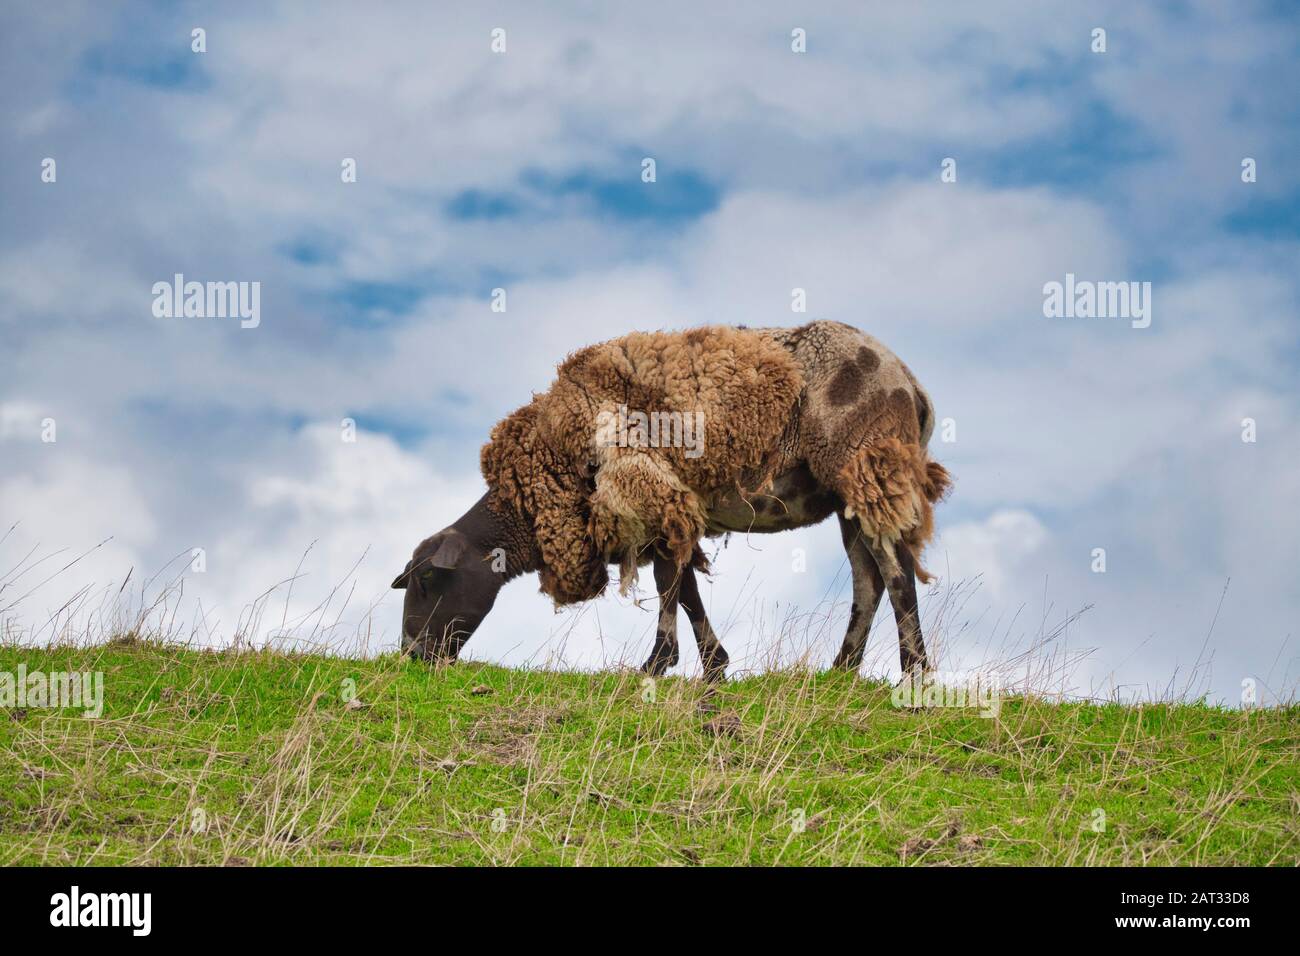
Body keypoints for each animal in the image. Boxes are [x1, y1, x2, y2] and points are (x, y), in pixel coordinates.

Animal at [392, 319, 951, 681]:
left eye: (426, 579)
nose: (413, 655)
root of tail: (913, 387)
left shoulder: (650, 498)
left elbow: (669, 587)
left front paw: (660, 664)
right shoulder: (667, 508)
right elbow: (683, 587)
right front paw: (710, 666)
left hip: (864, 461)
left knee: (895, 570)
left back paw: (914, 673)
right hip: (849, 492)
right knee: (867, 578)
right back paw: (842, 670)